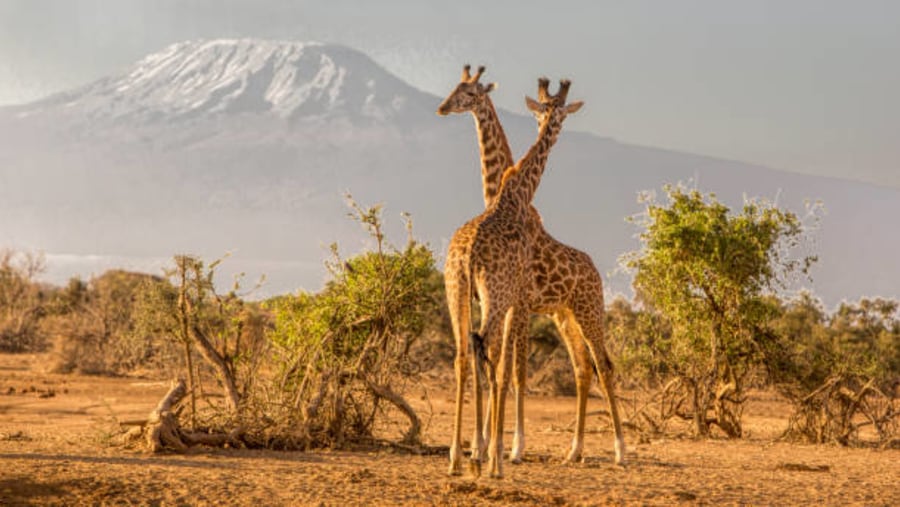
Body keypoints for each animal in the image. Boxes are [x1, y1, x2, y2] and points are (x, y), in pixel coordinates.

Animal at [438, 66, 624, 468]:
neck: (512, 193)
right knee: (583, 367)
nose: (443, 107)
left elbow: (513, 370)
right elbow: (511, 369)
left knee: (598, 365)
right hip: (561, 314)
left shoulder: (517, 301)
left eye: (469, 93)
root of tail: (595, 271)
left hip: (580, 310)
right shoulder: (515, 301)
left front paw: (505, 445)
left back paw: (613, 451)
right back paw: (580, 450)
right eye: (458, 90)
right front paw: (500, 446)